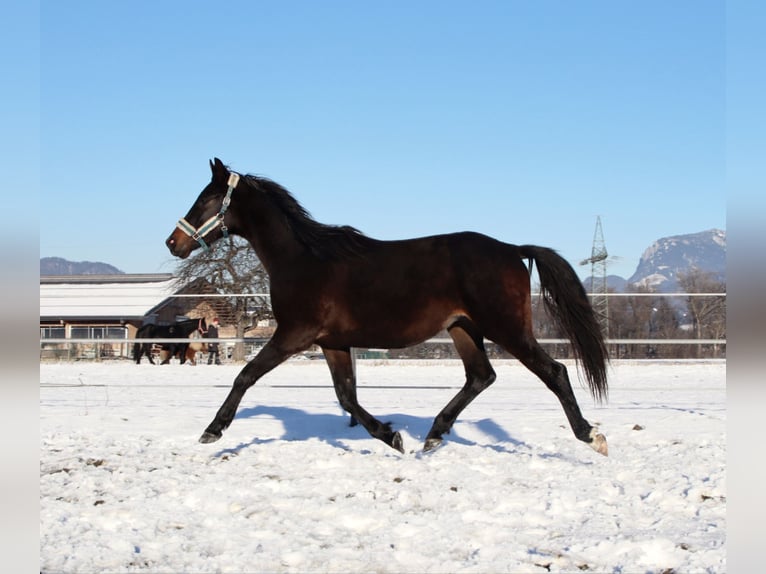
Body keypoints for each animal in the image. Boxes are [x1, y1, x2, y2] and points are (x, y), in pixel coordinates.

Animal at [168, 160, 612, 456]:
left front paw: (213, 430)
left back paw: (592, 436)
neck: (303, 258)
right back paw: (433, 435)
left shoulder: (294, 334)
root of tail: (511, 249)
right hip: (463, 328)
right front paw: (391, 435)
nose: (174, 243)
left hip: (506, 328)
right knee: (480, 376)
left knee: (554, 372)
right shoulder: (332, 343)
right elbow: (346, 396)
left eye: (207, 198)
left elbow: (245, 376)